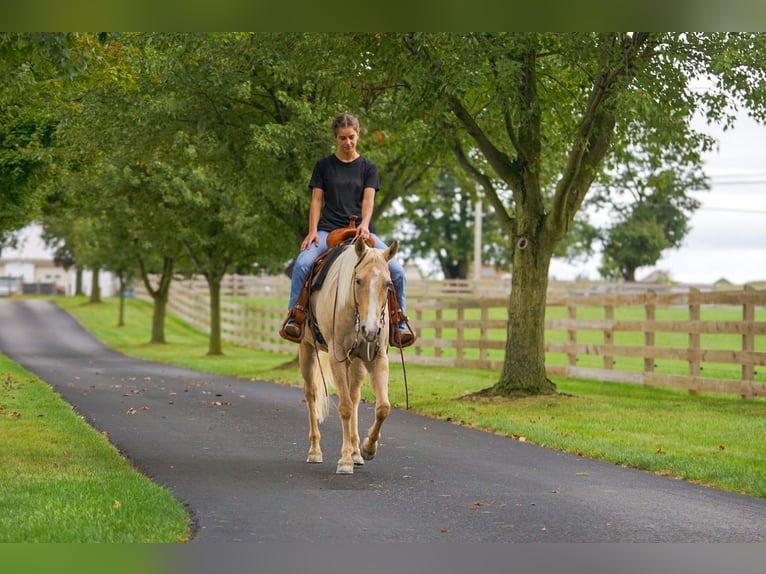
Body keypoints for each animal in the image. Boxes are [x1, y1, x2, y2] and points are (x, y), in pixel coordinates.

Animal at [299, 235, 398, 475]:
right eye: (358, 281)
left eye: (388, 284)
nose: (370, 330)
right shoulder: (338, 357)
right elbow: (344, 407)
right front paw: (344, 460)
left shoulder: (377, 358)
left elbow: (383, 407)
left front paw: (367, 449)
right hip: (307, 349)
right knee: (312, 393)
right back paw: (315, 450)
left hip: (357, 364)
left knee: (354, 398)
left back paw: (356, 453)